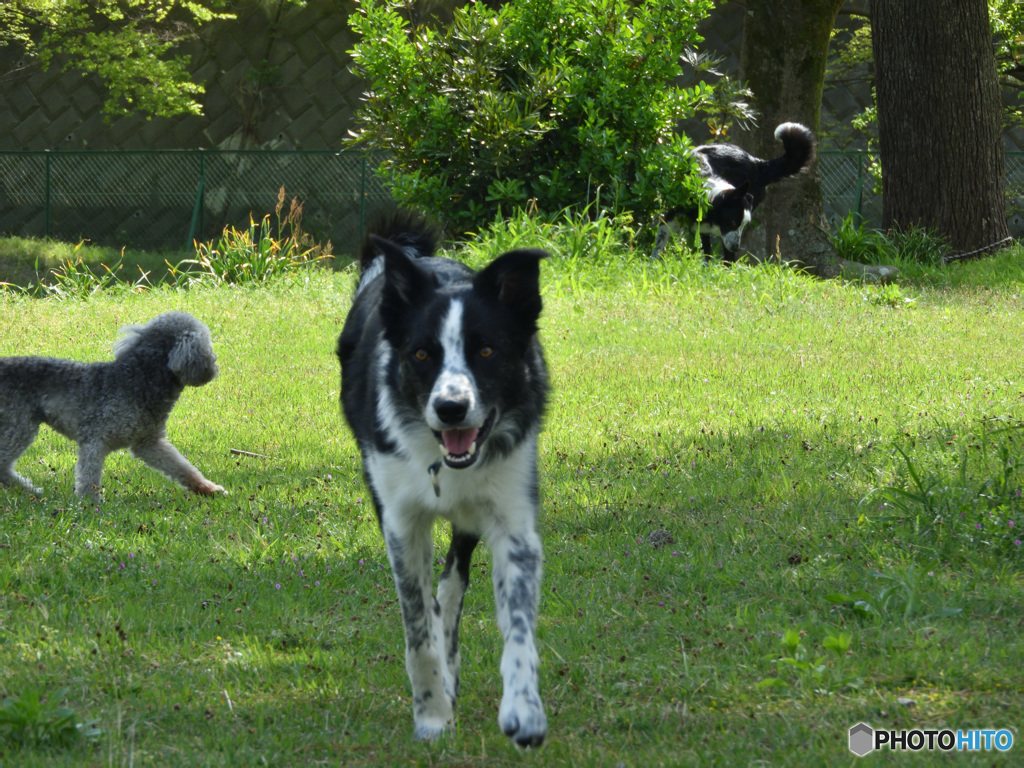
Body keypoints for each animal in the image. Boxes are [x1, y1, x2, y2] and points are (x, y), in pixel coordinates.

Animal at [337, 214, 552, 749]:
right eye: (420, 354)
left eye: (487, 350)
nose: (451, 407)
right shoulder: (400, 522)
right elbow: (418, 629)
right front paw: (433, 715)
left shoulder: (513, 521)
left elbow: (518, 628)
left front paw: (524, 711)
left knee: (453, 585)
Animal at [655, 122, 815, 262]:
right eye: (732, 222)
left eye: (744, 225)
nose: (736, 248)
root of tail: (757, 163)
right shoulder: (673, 215)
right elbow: (660, 242)